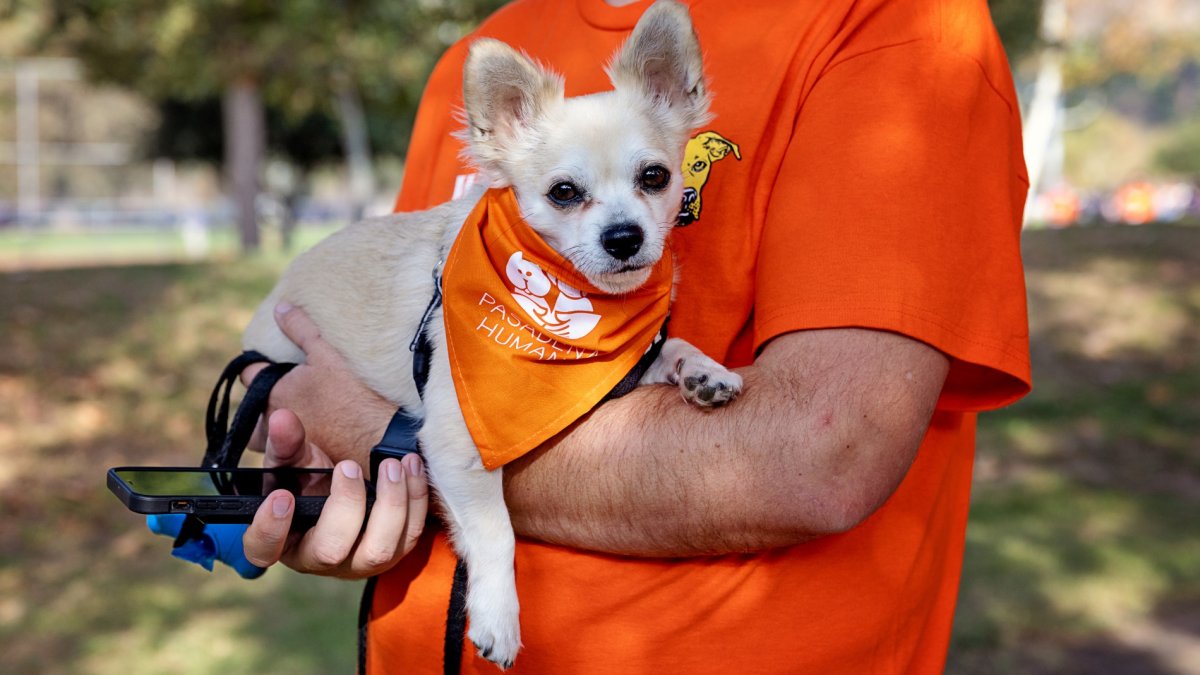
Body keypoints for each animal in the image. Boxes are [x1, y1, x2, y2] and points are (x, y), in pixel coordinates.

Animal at [244, 0, 739, 662]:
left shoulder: (623, 369)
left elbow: (672, 346)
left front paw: (703, 370)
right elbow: (495, 531)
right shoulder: (458, 444)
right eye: (564, 193)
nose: (624, 236)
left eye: (655, 177)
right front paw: (498, 615)